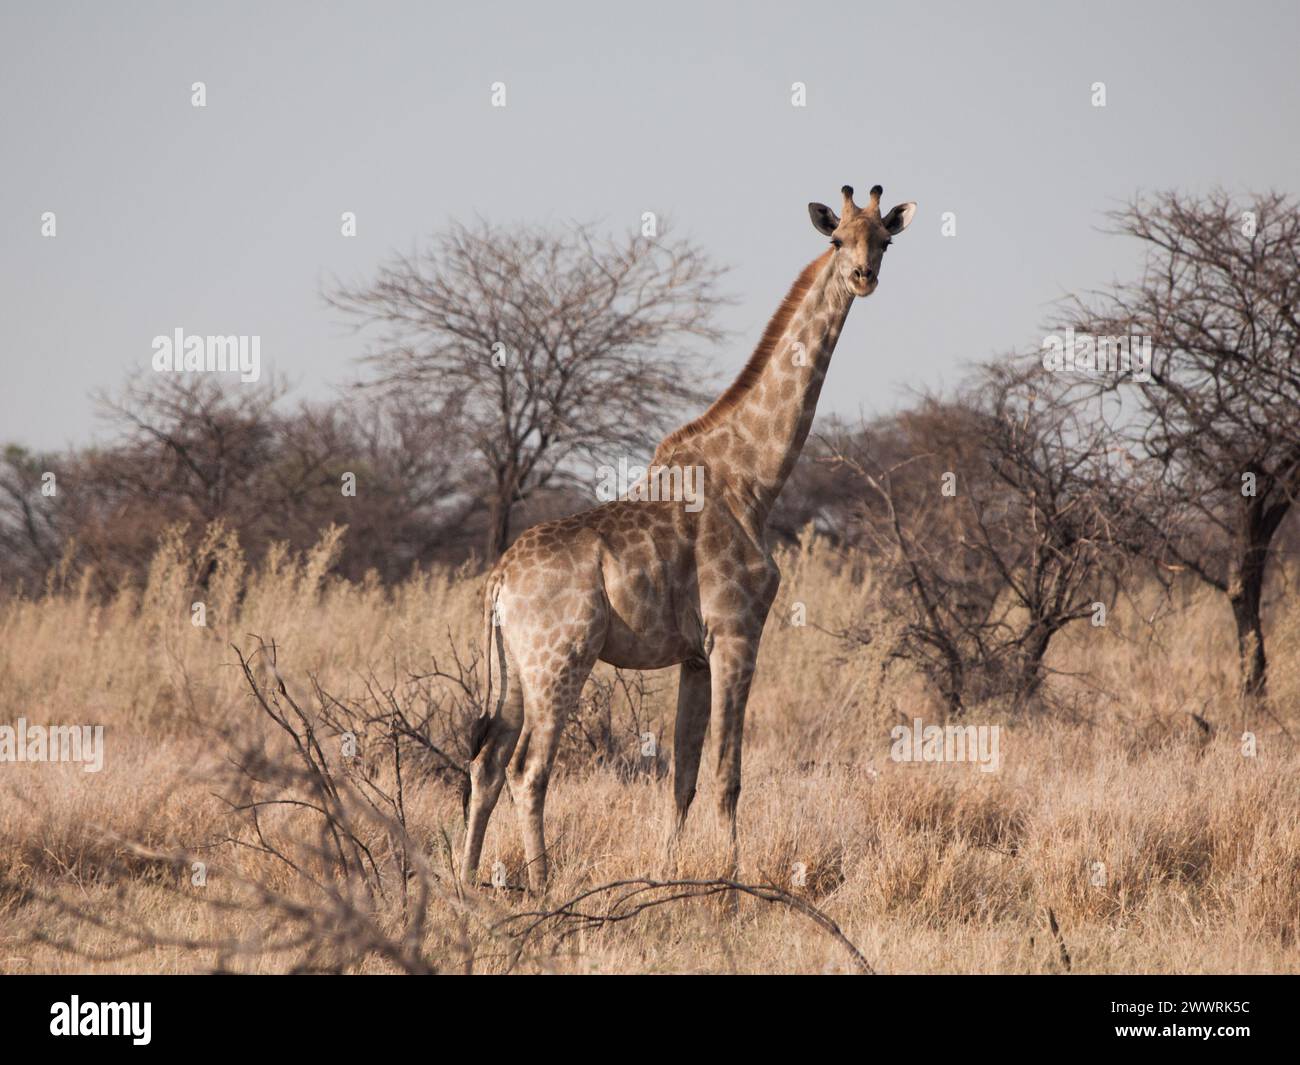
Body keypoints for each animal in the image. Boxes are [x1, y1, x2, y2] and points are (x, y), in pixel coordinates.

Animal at [462, 183, 920, 889]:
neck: (754, 477)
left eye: (886, 241)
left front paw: (669, 876)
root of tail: (499, 580)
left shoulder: (695, 655)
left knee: (485, 765)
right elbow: (729, 775)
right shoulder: (736, 632)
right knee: (527, 770)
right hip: (559, 658)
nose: (863, 277)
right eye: (838, 239)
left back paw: (464, 885)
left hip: (514, 665)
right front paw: (731, 885)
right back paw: (542, 885)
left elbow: (683, 776)